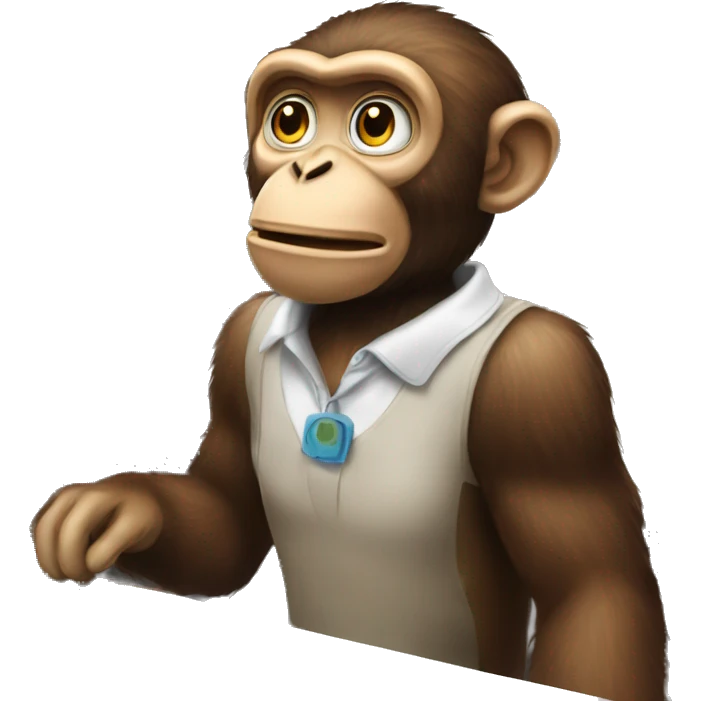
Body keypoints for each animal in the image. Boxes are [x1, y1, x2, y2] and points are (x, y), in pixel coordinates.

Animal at [32, 4, 667, 700]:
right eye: (290, 119)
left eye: (376, 124)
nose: (308, 168)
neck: (368, 321)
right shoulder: (239, 336)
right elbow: (226, 520)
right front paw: (116, 508)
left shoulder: (545, 376)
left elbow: (591, 591)